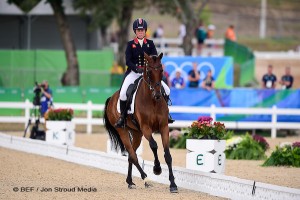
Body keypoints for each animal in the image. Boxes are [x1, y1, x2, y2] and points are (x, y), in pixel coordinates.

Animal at [103, 52, 178, 193]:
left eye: (161, 70)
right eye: (148, 71)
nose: (158, 95)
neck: (152, 101)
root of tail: (112, 98)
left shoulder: (164, 127)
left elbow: (168, 154)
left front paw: (173, 184)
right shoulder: (145, 127)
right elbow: (154, 145)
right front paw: (157, 169)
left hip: (137, 133)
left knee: (131, 155)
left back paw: (130, 181)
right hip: (123, 131)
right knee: (133, 155)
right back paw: (146, 179)